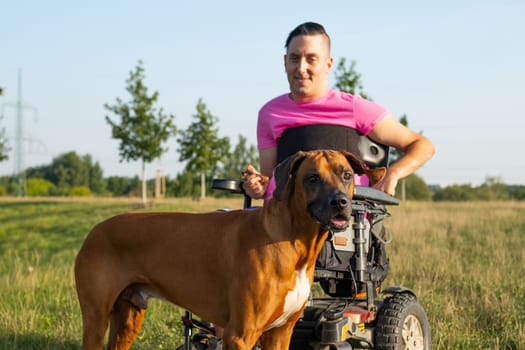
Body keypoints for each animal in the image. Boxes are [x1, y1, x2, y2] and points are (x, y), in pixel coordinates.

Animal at [74, 149, 384, 348]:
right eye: (312, 178)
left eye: (346, 175)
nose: (341, 202)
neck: (293, 242)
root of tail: (94, 231)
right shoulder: (240, 335)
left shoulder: (280, 333)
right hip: (96, 318)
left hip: (128, 318)